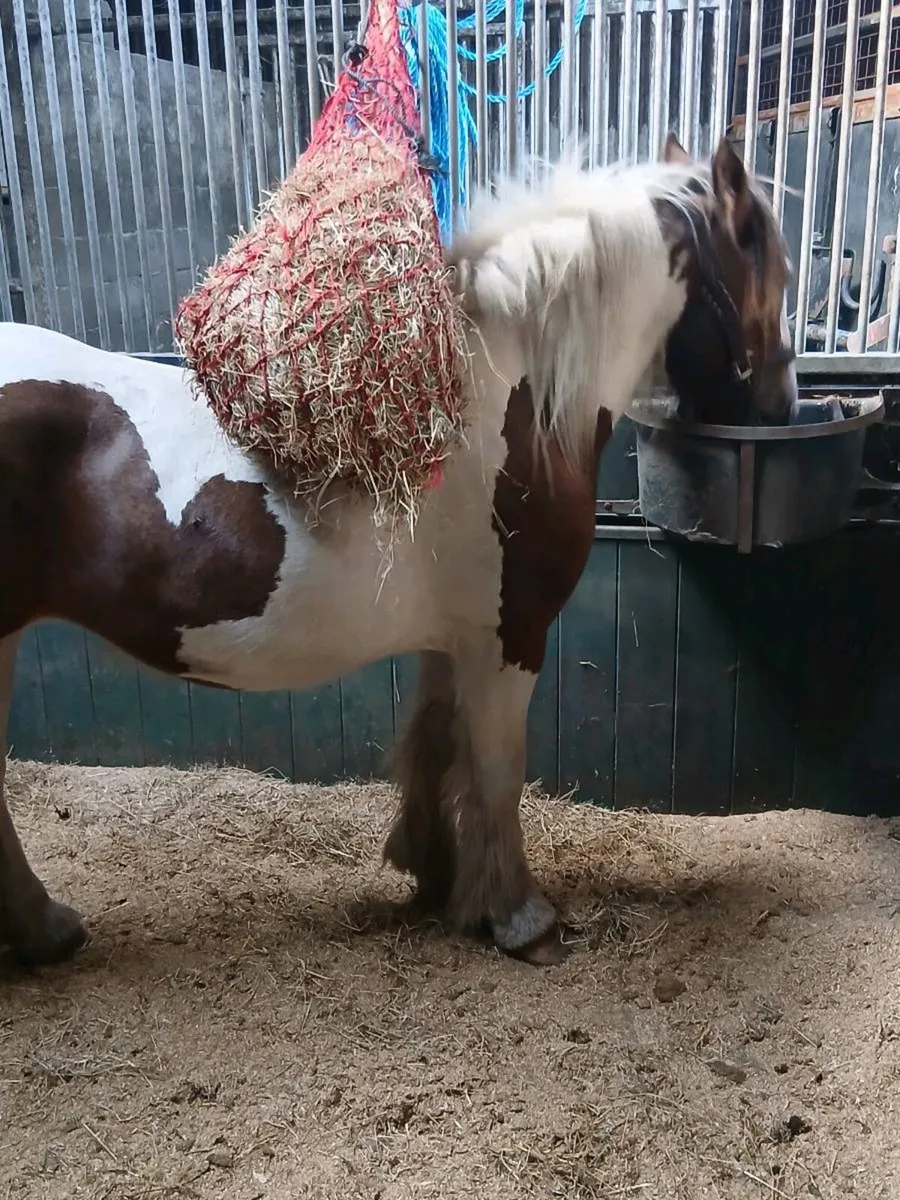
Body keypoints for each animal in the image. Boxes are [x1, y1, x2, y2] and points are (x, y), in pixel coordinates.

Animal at [0, 134, 796, 970]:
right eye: (771, 271)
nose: (782, 407)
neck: (505, 396)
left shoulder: (455, 638)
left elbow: (437, 745)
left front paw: (437, 877)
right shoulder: (510, 636)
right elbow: (498, 769)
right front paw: (521, 918)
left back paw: (42, 929)